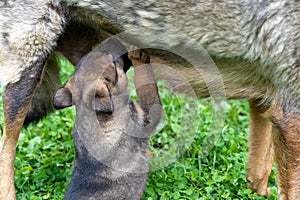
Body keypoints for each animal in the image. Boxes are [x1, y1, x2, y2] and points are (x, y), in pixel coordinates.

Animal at [0, 0, 298, 199]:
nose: (123, 51)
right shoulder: (289, 116)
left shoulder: (269, 102)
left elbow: (259, 173)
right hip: (22, 79)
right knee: (6, 158)